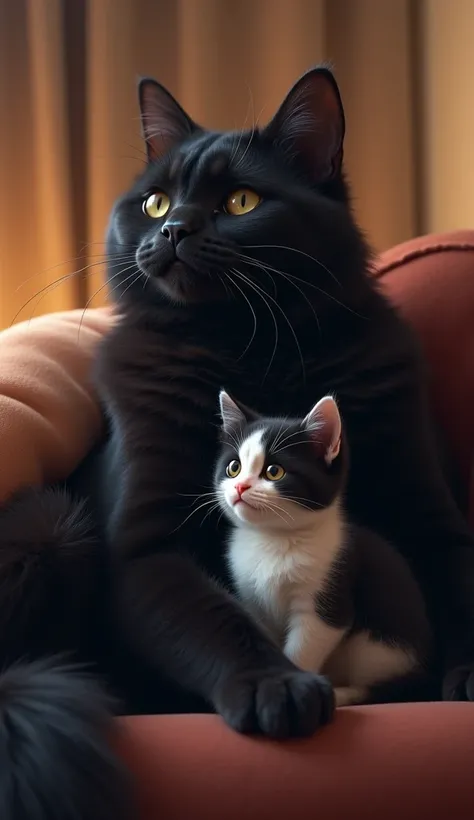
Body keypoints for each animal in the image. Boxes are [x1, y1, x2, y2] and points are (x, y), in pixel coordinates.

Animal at [215, 392, 434, 704]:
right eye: (234, 467)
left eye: (274, 471)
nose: (240, 487)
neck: (274, 538)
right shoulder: (254, 600)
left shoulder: (328, 597)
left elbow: (303, 649)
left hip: (378, 648)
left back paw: (342, 692)